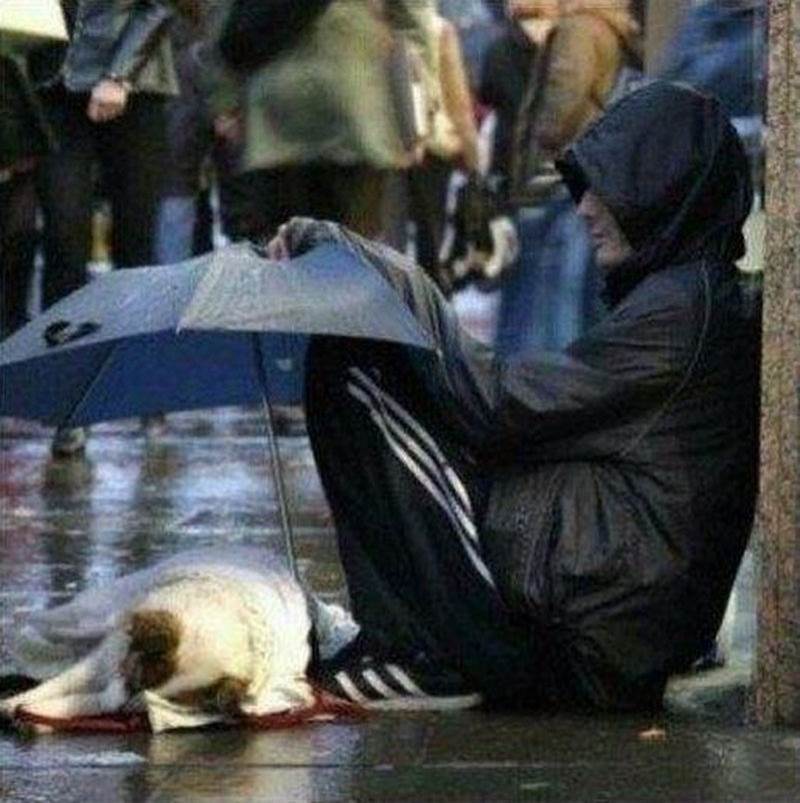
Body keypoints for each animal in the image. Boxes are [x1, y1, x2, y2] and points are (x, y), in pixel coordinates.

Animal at [0, 548, 362, 736]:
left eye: (149, 698)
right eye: (135, 678)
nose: (121, 709)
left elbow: (85, 699)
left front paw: (37, 715)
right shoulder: (109, 657)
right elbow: (66, 682)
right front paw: (17, 703)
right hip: (92, 613)